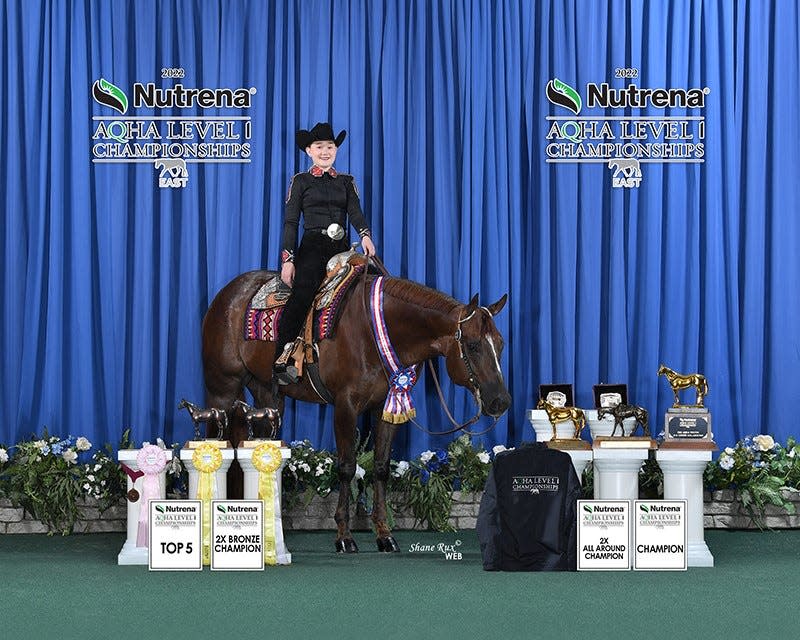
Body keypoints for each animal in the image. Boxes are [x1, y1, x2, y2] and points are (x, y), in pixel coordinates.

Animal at [202, 268, 512, 552]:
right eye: (473, 346)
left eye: (501, 344)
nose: (501, 401)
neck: (376, 331)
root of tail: (228, 294)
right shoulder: (346, 406)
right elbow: (347, 467)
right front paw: (344, 536)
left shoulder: (387, 407)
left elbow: (381, 467)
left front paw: (384, 534)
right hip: (222, 390)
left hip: (268, 396)